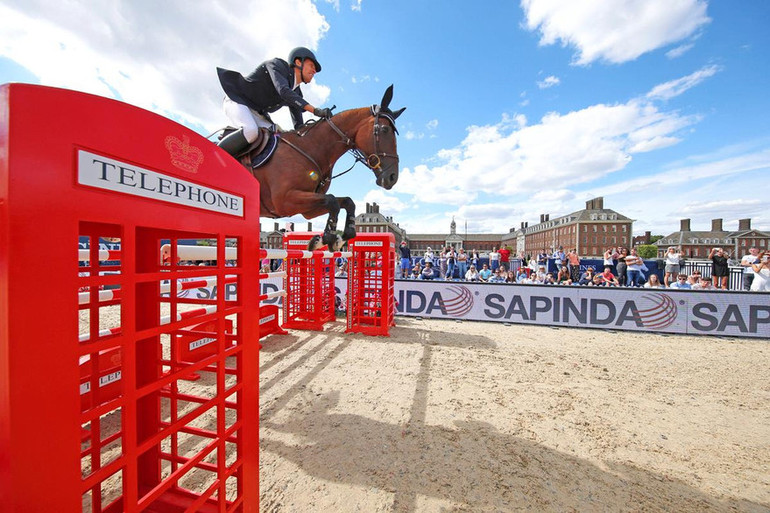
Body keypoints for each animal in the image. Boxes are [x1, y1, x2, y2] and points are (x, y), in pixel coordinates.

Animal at [238, 85, 404, 249]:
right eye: (384, 129)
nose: (393, 177)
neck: (311, 147)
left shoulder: (307, 210)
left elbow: (346, 202)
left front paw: (338, 237)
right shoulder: (284, 201)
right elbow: (332, 201)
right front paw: (327, 238)